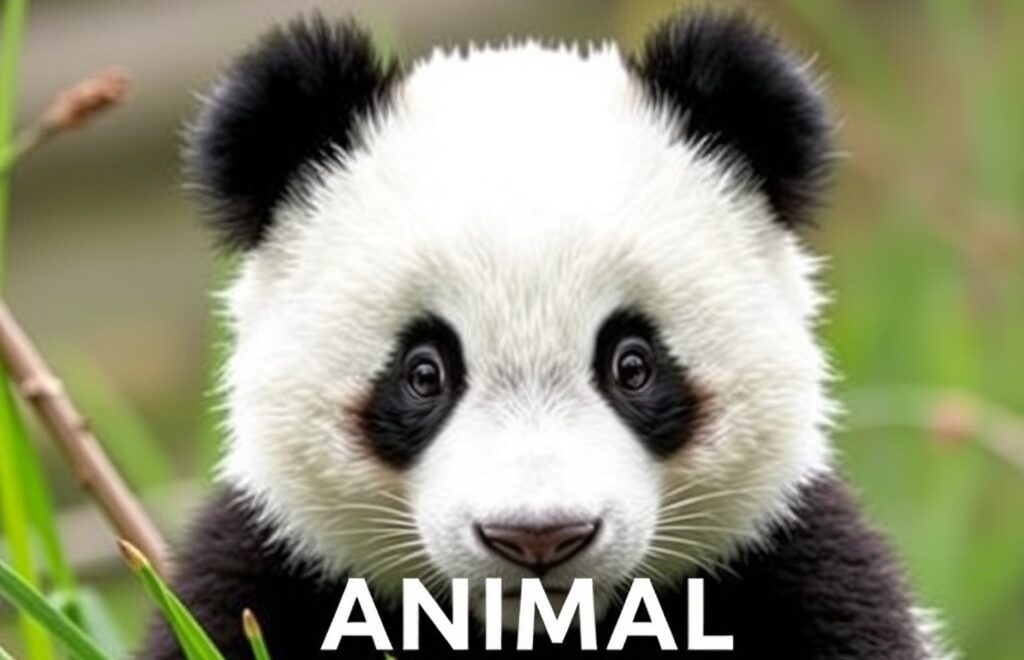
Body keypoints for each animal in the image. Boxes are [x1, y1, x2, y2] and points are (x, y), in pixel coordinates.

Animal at [143, 9, 951, 660]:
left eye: (633, 365)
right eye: (423, 373)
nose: (539, 537)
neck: (538, 628)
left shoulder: (790, 567)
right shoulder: (272, 574)